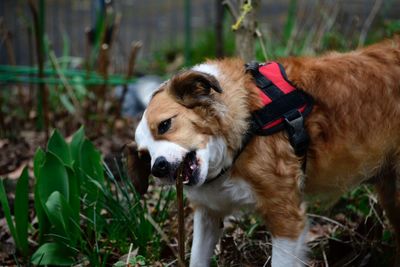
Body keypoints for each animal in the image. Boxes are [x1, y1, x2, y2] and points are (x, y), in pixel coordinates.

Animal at [134, 38, 400, 267]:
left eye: (165, 125)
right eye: (145, 155)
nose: (158, 168)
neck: (248, 122)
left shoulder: (286, 215)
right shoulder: (209, 213)